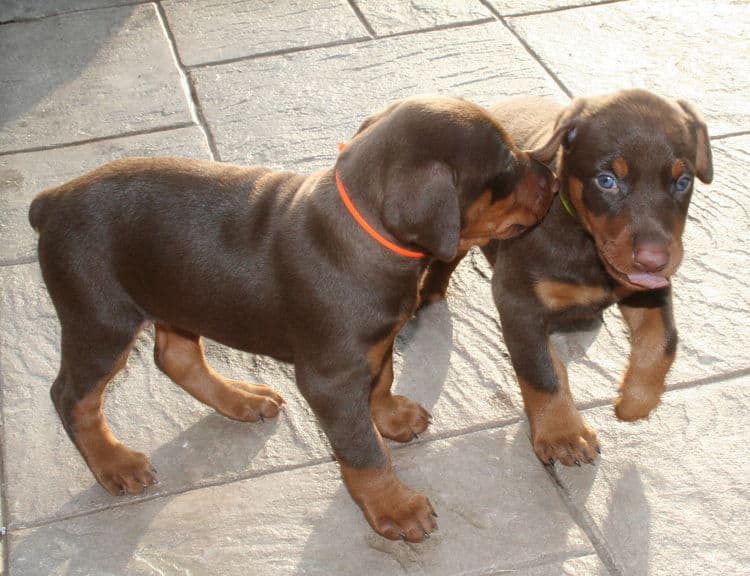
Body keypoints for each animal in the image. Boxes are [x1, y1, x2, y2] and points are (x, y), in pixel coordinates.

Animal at [29, 94, 560, 540]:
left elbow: (382, 379)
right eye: (508, 164)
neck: (366, 233)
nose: (553, 175)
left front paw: (390, 416)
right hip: (101, 318)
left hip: (177, 295)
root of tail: (52, 199)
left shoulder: (375, 344)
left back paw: (241, 398)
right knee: (71, 396)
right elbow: (364, 451)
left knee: (175, 355)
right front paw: (395, 507)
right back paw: (115, 463)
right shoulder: (329, 377)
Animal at [420, 90, 712, 468]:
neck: (586, 243)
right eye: (606, 181)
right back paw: (427, 292)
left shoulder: (648, 292)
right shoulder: (519, 301)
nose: (654, 261)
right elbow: (542, 370)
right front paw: (563, 434)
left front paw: (634, 402)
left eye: (683, 182)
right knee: (446, 258)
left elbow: (664, 340)